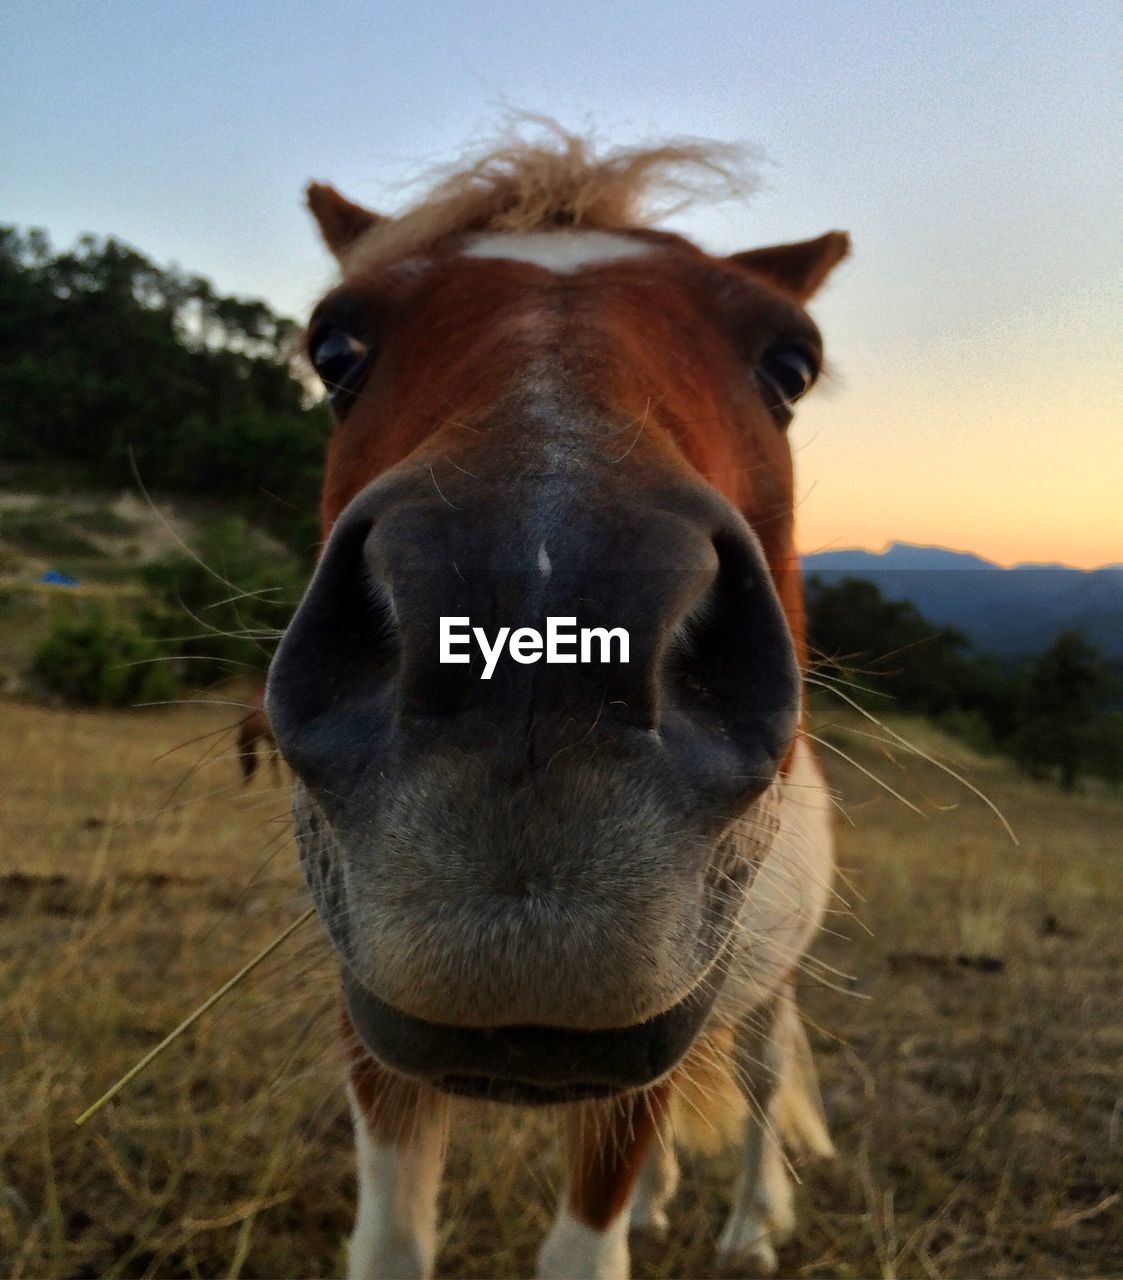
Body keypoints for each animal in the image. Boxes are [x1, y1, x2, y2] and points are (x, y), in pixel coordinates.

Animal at [267, 122, 850, 1280]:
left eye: (790, 365)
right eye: (335, 349)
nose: (533, 638)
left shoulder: (646, 1047)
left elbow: (590, 1241)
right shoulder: (375, 1032)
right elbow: (393, 1241)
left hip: (766, 977)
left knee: (766, 1077)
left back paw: (751, 1223)